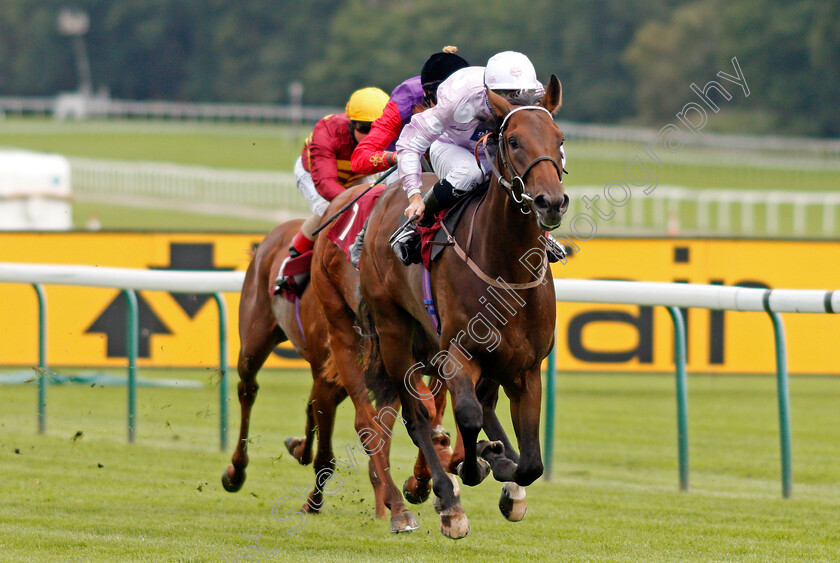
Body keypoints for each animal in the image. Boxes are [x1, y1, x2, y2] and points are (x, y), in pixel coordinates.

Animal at [358, 77, 568, 540]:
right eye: (513, 140)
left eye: (560, 139)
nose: (550, 202)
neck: (507, 269)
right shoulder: (458, 353)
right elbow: (468, 417)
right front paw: (471, 475)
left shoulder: (526, 368)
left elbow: (531, 462)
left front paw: (504, 465)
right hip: (394, 330)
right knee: (417, 415)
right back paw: (444, 495)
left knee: (483, 409)